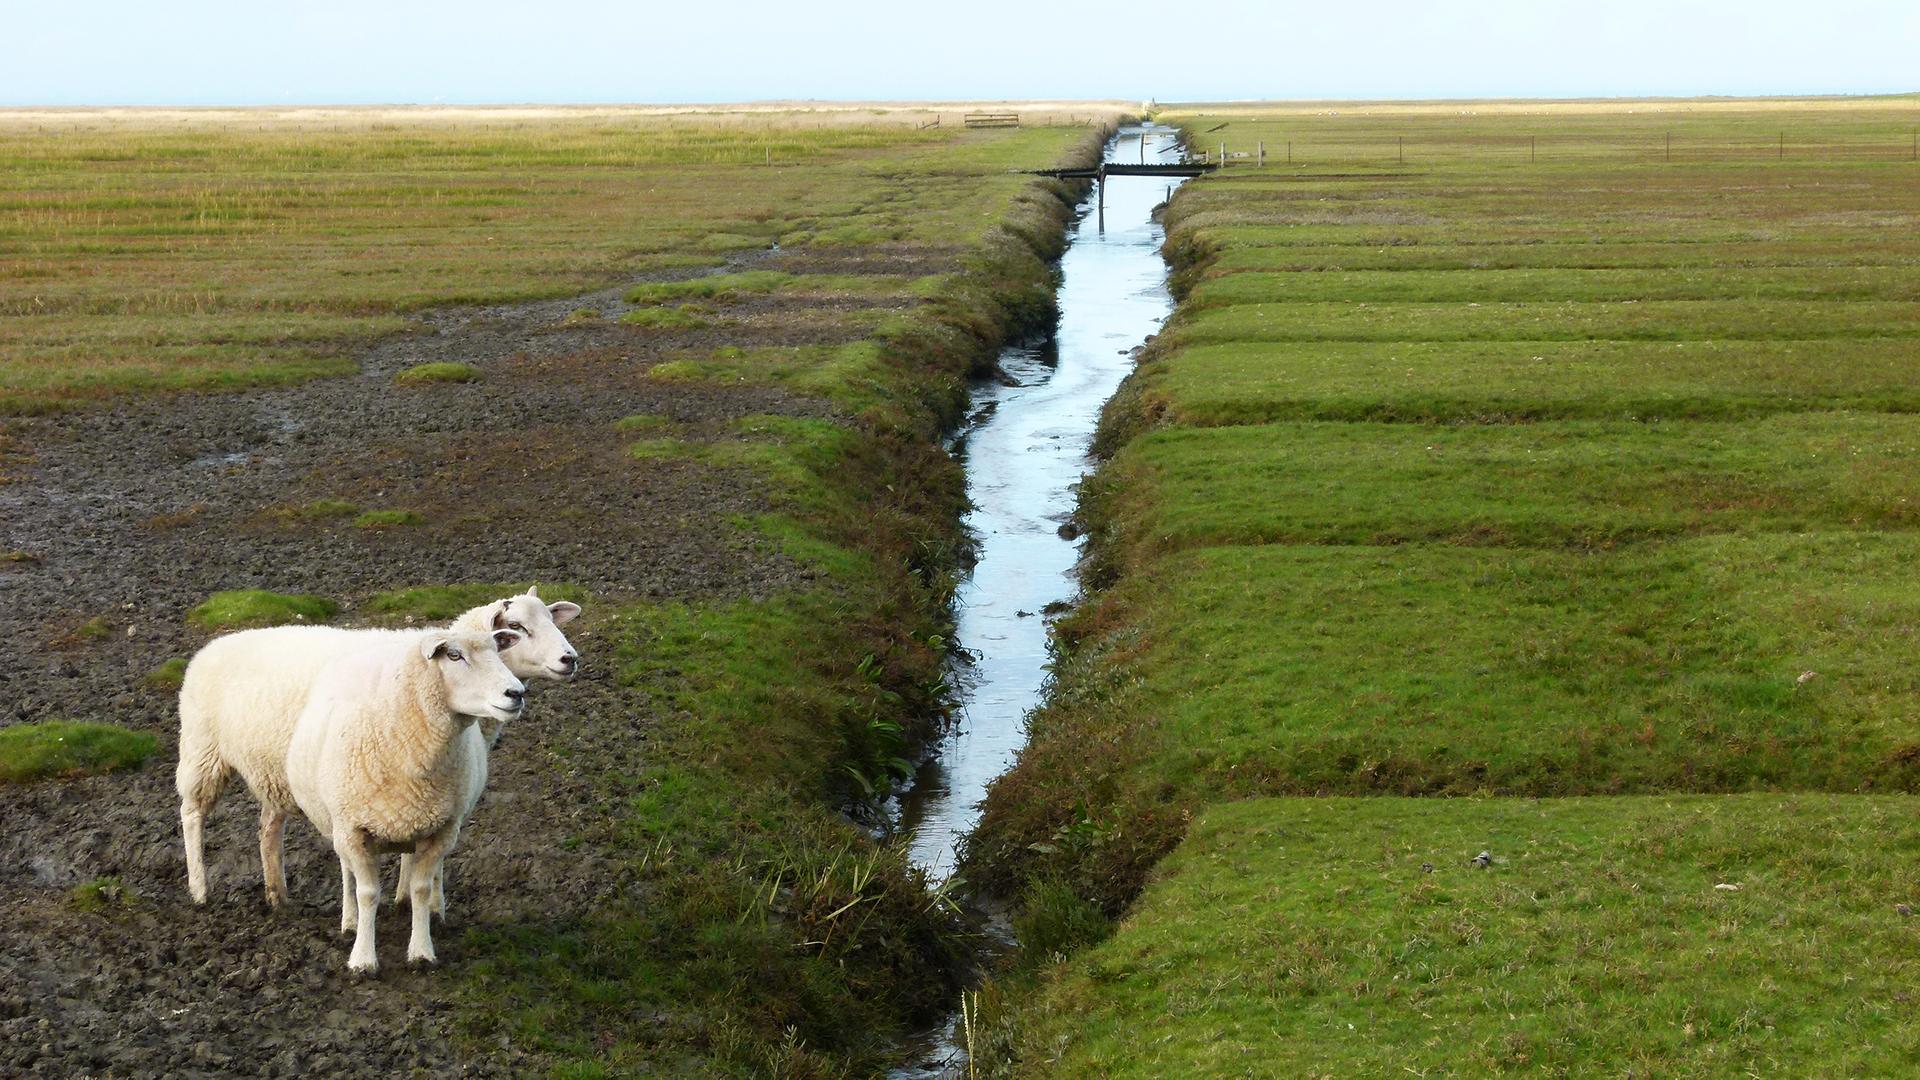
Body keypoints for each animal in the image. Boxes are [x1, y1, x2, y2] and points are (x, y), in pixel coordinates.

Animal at [175, 588, 581, 907]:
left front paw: (415, 899)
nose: (570, 659)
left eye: (551, 619)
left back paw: (278, 895)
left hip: (276, 771)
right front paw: (417, 902)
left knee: (267, 828)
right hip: (202, 750)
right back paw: (199, 890)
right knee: (192, 814)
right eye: (518, 628)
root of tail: (214, 645)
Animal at [284, 626, 525, 972]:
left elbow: (421, 887)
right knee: (346, 871)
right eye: (454, 656)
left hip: (421, 819)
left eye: (497, 650)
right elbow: (367, 892)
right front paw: (362, 958)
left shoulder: (443, 828)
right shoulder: (352, 830)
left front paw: (421, 950)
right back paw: (350, 921)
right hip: (335, 823)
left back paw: (428, 908)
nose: (516, 693)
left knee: (418, 864)